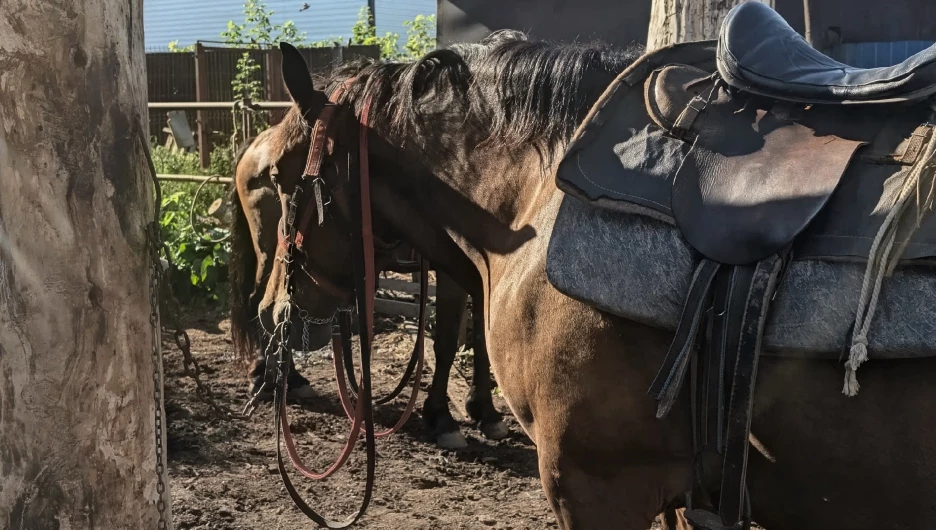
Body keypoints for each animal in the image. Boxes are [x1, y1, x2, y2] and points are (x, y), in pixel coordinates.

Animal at [228, 121, 508, 449]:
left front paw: (486, 412)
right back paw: (264, 376)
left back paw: (290, 379)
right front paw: (441, 419)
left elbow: (483, 341)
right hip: (270, 250)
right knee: (260, 303)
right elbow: (448, 340)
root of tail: (256, 143)